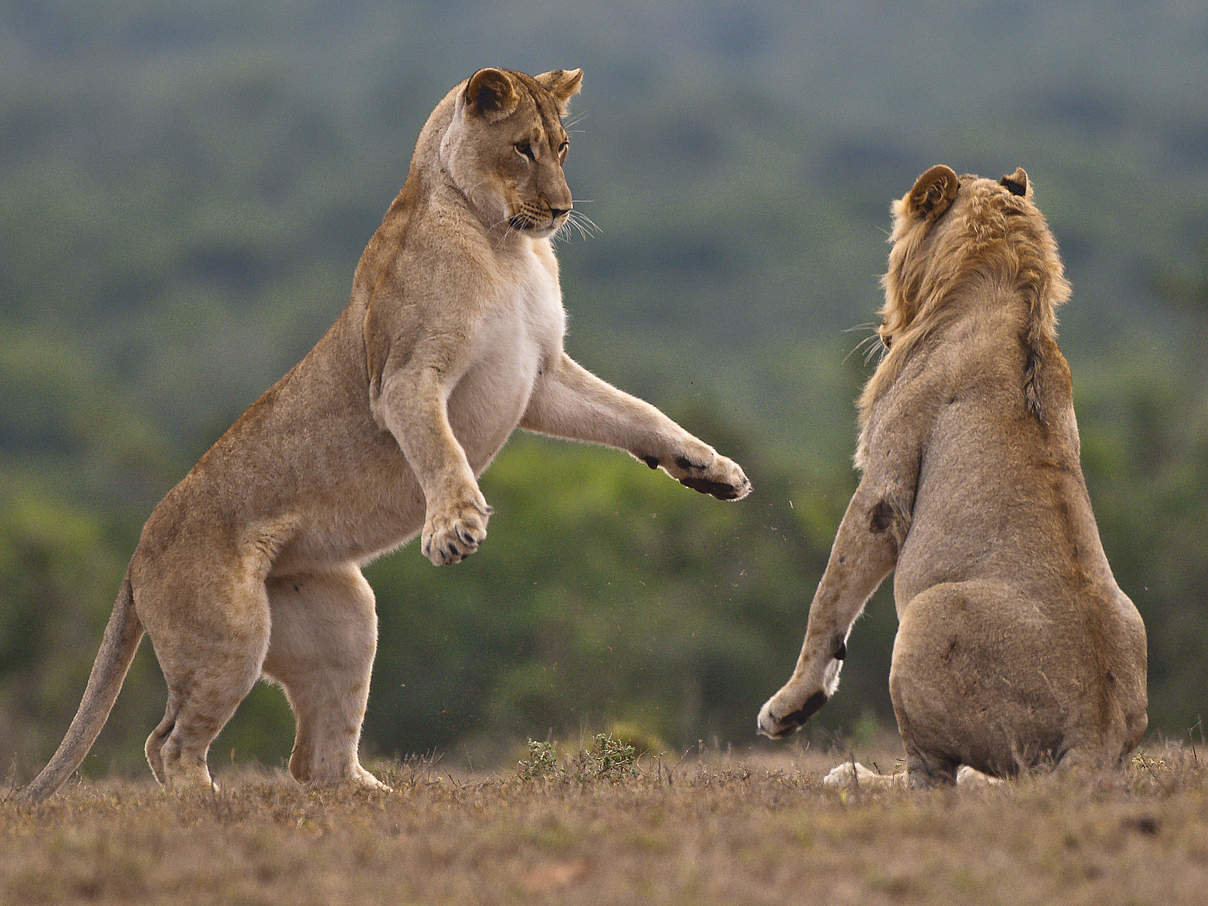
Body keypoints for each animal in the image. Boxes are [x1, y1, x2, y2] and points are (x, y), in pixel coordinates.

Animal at [23, 72, 748, 806]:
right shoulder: (405, 377)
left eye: (563, 147)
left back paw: (380, 797)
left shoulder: (542, 376)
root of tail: (136, 552)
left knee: (313, 760)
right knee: (167, 742)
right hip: (230, 633)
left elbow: (636, 413)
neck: (506, 245)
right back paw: (211, 803)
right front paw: (454, 528)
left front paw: (711, 469)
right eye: (522, 147)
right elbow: (439, 450)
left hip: (344, 619)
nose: (561, 210)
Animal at [758, 165, 1145, 787]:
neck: (1009, 293)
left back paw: (856, 777)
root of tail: (1097, 732)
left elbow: (829, 597)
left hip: (924, 616)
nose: (883, 329)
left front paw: (789, 706)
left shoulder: (884, 484)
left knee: (932, 778)